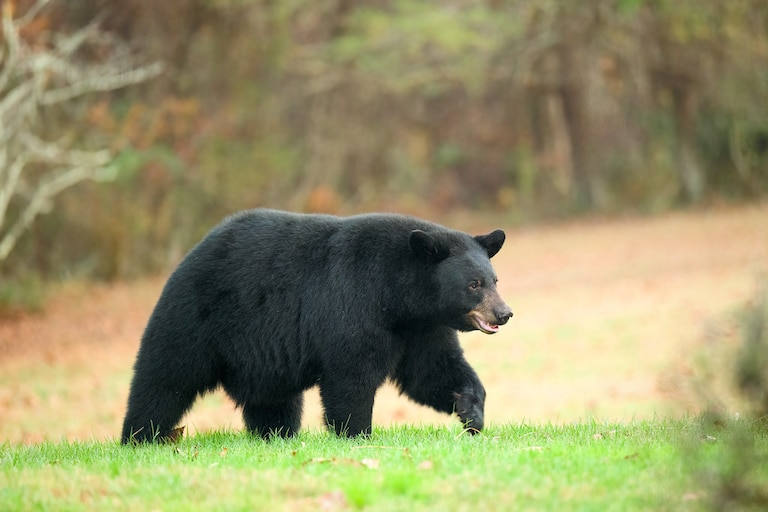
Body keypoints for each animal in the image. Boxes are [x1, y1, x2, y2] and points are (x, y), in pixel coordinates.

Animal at [121, 209, 512, 443]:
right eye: (474, 284)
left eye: (495, 279)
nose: (504, 313)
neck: (397, 295)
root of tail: (193, 252)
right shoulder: (354, 303)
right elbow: (351, 375)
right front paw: (356, 434)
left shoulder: (420, 328)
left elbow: (431, 370)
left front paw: (471, 412)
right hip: (197, 319)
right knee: (164, 378)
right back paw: (139, 437)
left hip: (260, 359)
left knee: (273, 400)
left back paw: (275, 435)